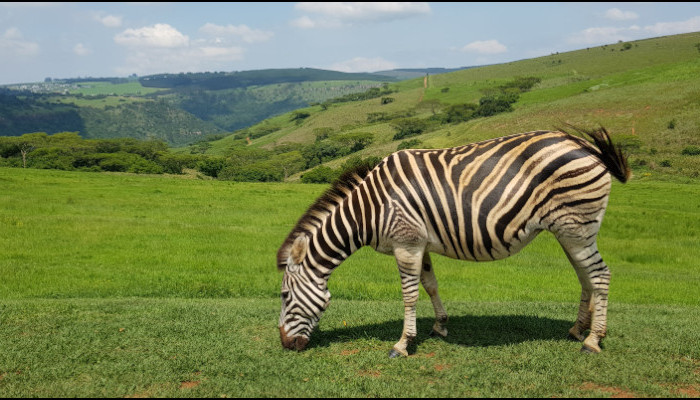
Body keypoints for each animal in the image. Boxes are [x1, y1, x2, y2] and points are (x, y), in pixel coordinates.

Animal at [278, 127, 628, 356]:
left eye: (283, 296)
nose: (284, 345)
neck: (369, 209)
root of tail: (585, 145)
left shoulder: (406, 243)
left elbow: (409, 295)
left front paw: (402, 345)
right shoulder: (419, 244)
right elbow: (430, 284)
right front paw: (440, 326)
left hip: (576, 227)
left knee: (601, 275)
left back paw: (593, 340)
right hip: (571, 231)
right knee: (586, 277)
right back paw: (577, 330)